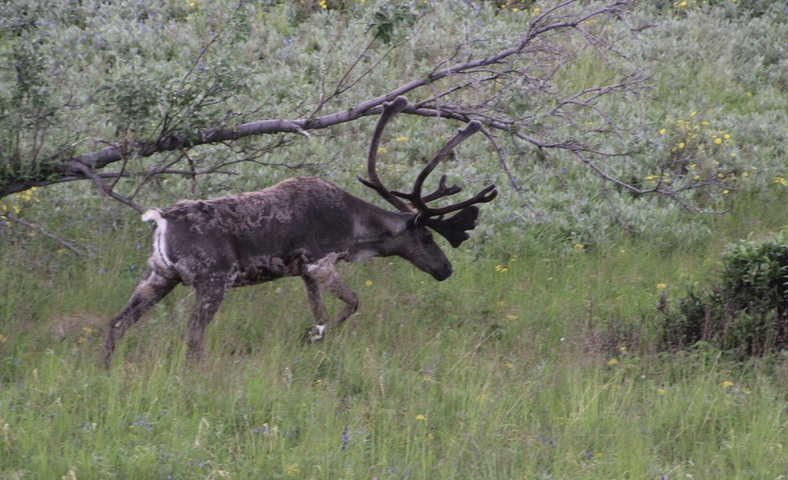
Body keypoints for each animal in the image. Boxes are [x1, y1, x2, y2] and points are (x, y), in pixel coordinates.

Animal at [102, 96, 497, 366]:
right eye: (427, 237)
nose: (446, 269)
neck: (357, 231)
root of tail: (161, 219)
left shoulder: (304, 271)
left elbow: (322, 310)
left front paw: (316, 336)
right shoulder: (321, 260)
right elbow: (353, 302)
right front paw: (314, 335)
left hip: (158, 276)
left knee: (116, 323)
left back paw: (107, 370)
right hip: (214, 279)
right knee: (193, 336)